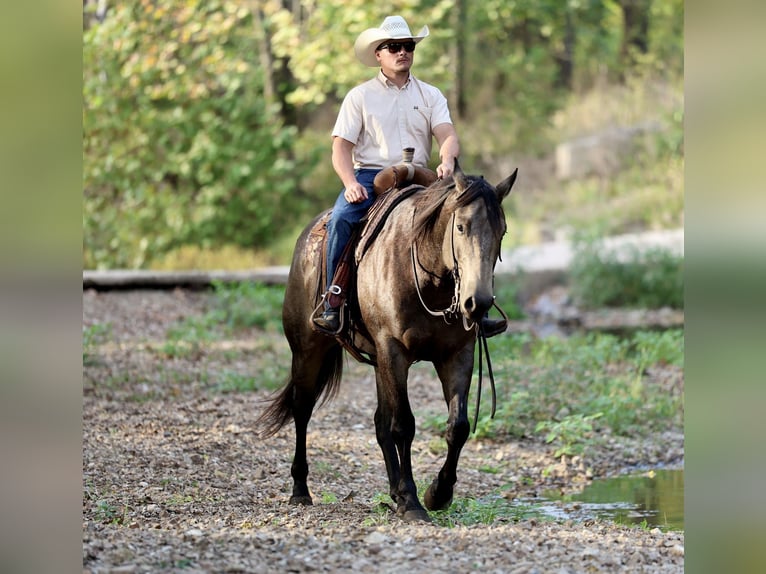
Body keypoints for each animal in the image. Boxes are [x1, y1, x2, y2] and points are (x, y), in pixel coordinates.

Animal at [256, 161, 518, 522]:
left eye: (501, 232)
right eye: (461, 227)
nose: (476, 303)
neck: (428, 278)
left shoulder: (456, 355)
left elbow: (458, 426)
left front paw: (437, 494)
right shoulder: (394, 352)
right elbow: (403, 425)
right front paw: (412, 501)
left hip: (377, 363)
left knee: (380, 422)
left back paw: (393, 493)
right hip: (308, 351)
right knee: (302, 409)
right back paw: (300, 490)